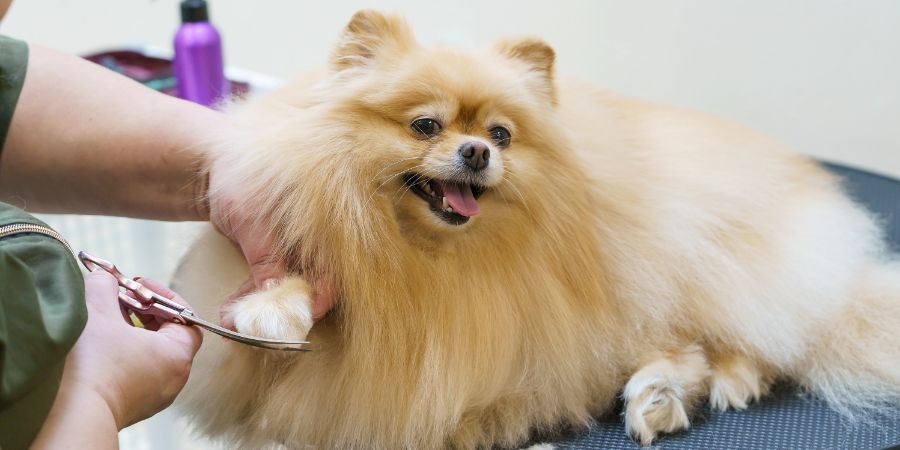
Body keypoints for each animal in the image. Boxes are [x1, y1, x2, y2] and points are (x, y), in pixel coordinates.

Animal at [176, 8, 900, 448]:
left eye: (500, 134)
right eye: (425, 125)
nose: (477, 152)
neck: (425, 260)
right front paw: (276, 306)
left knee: (739, 341)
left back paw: (696, 386)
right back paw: (661, 394)